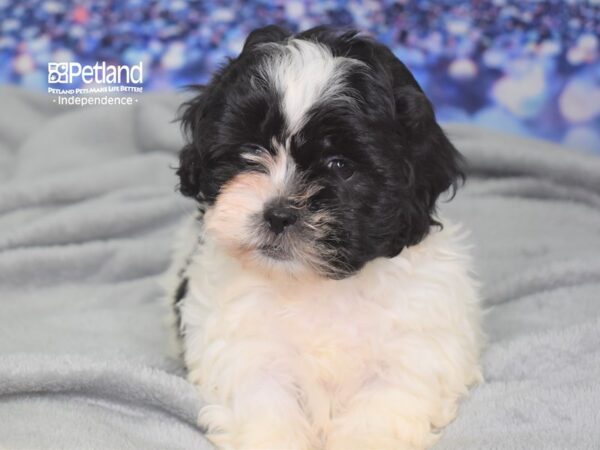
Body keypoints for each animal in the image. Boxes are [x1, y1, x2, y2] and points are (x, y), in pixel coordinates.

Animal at [168, 25, 482, 450]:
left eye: (339, 165)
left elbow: (385, 401)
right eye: (251, 149)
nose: (279, 214)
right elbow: (263, 397)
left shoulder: (414, 347)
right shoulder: (244, 346)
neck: (314, 285)